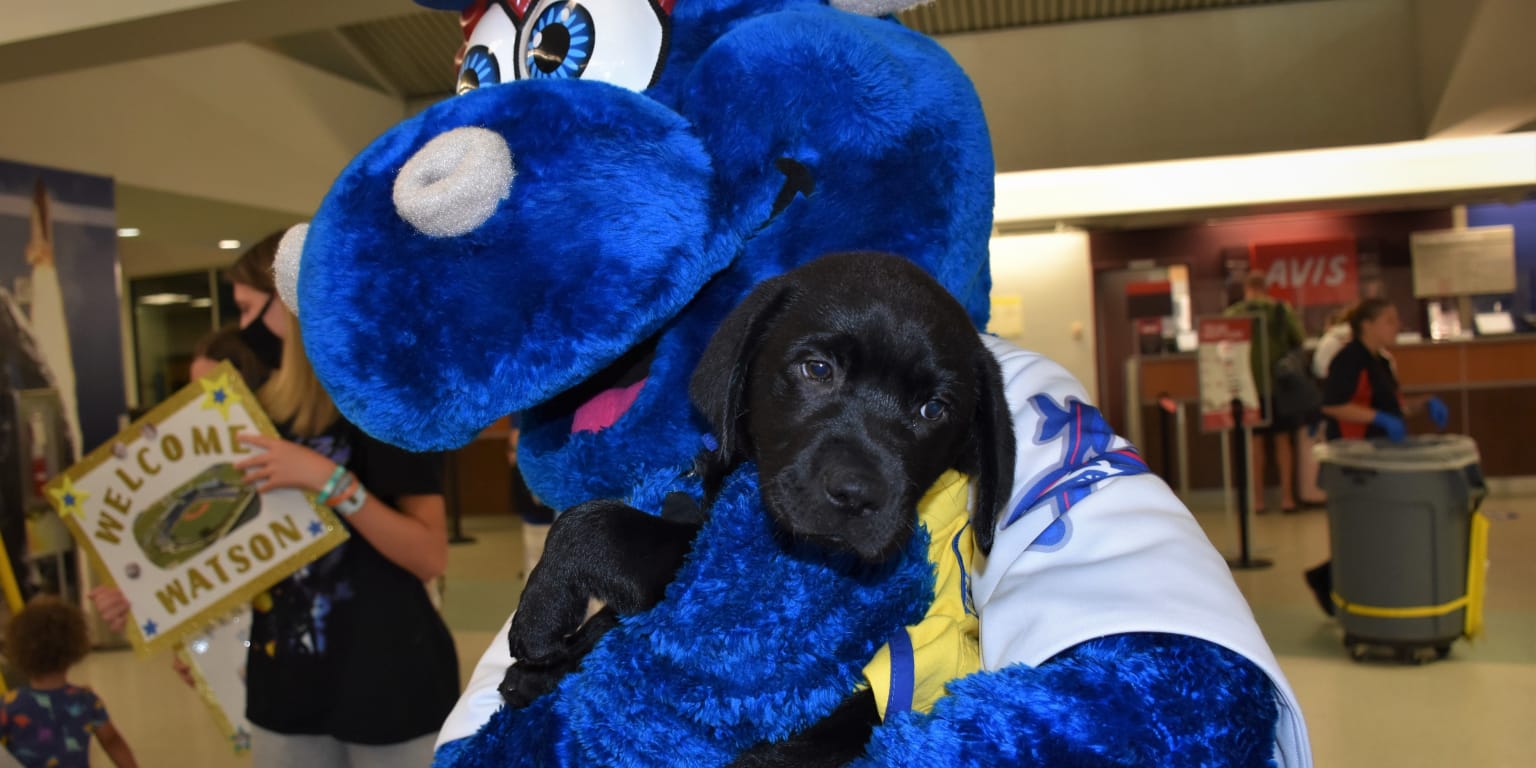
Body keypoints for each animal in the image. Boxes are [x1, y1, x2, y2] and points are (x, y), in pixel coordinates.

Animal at [497, 250, 1013, 761]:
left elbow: (588, 524)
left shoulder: (705, 575)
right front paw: (551, 664)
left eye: (934, 409)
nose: (856, 493)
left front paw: (540, 618)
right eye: (817, 369)